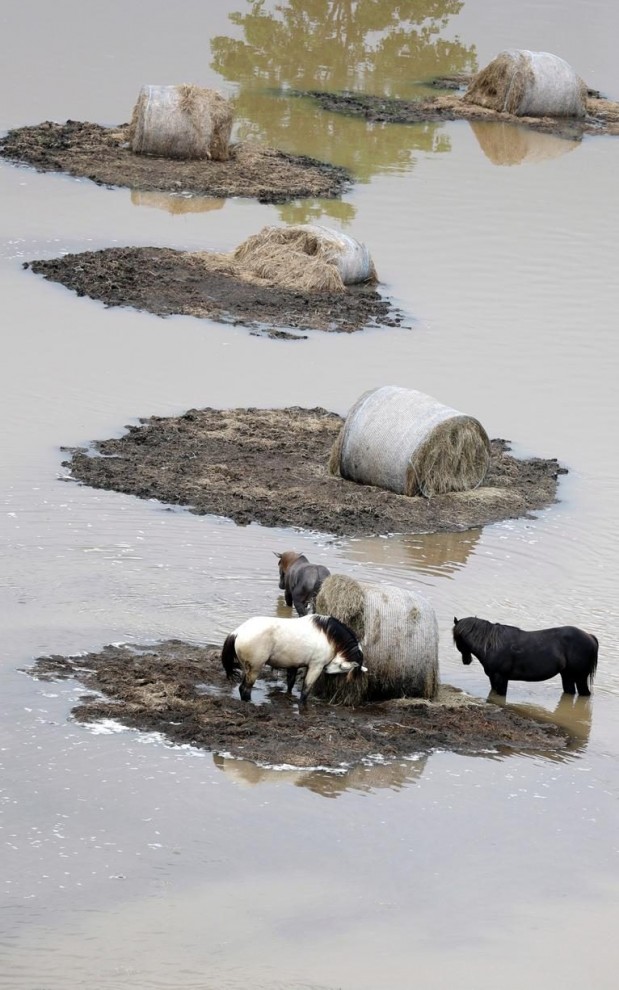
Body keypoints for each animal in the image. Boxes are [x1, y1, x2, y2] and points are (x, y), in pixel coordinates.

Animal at [223, 616, 368, 708]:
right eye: (341, 666)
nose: (326, 669)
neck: (327, 636)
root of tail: (237, 632)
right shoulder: (316, 667)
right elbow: (306, 689)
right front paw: (302, 705)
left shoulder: (293, 665)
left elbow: (290, 683)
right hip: (254, 669)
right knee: (245, 689)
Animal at [452, 612, 600, 696]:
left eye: (457, 639)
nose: (466, 661)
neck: (492, 645)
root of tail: (590, 637)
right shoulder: (493, 678)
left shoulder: (501, 678)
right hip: (567, 676)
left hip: (580, 678)